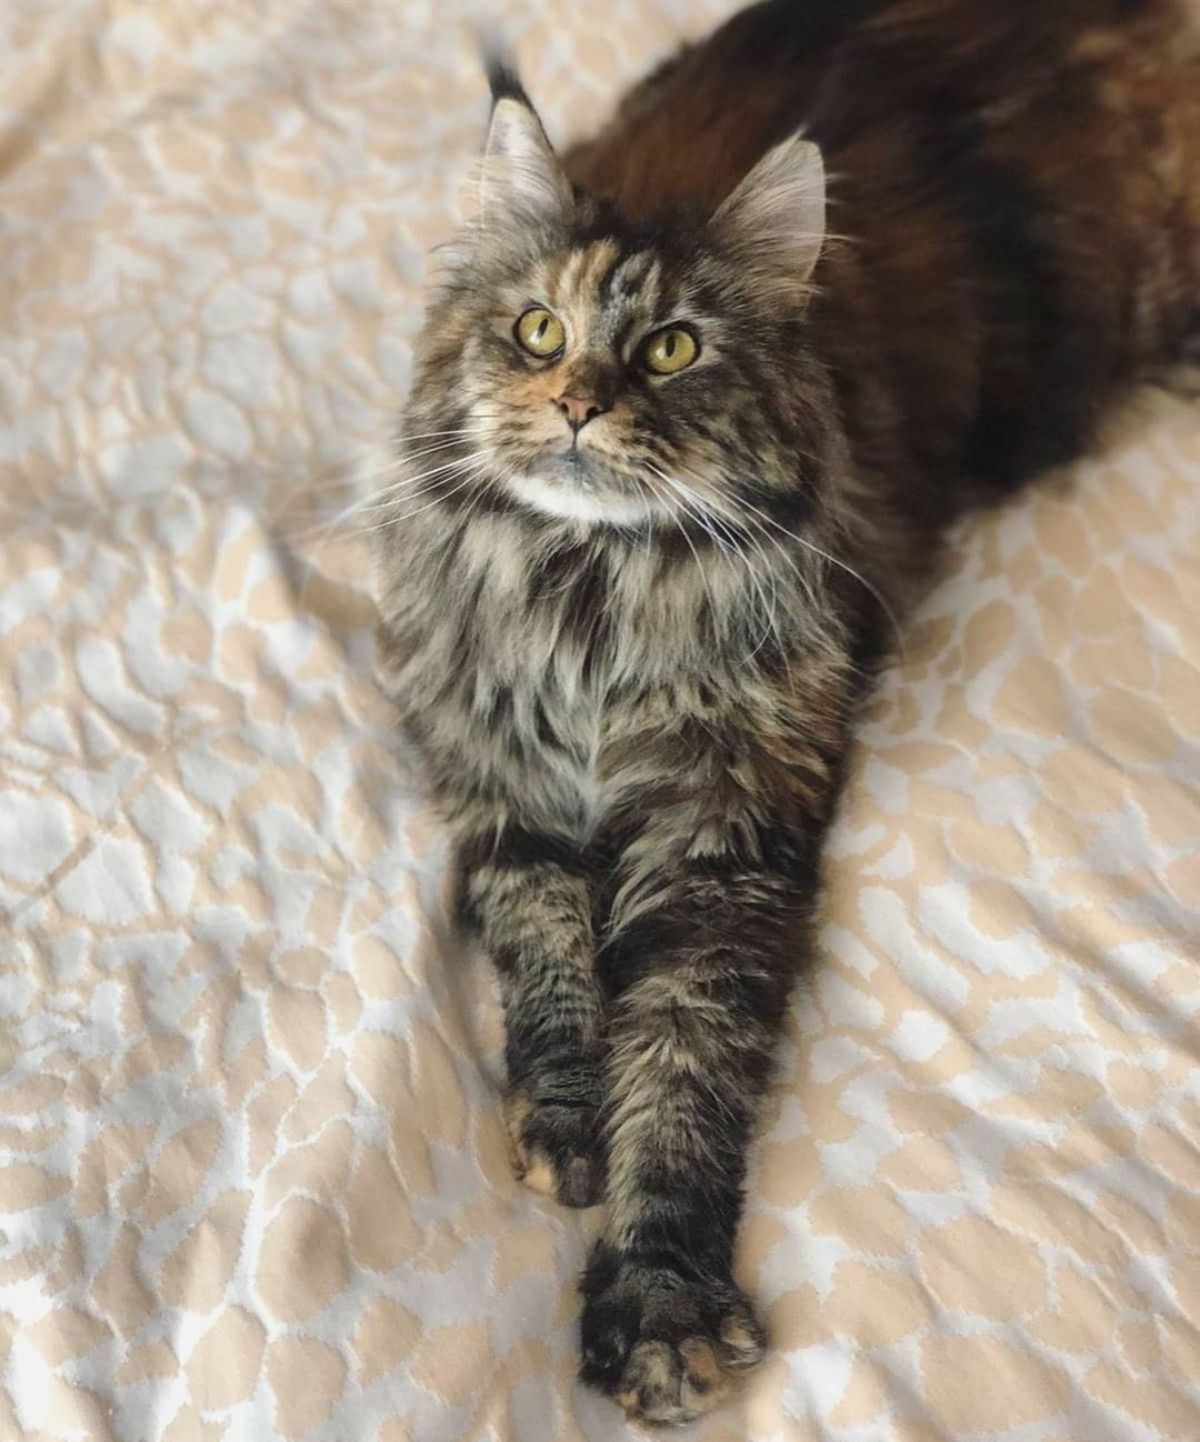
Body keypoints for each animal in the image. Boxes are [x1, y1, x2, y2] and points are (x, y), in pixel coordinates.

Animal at [375, 0, 1200, 1418]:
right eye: (538, 332)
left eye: (670, 348)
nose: (581, 402)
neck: (594, 596)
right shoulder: (508, 790)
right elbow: (546, 959)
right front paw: (563, 1117)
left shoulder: (725, 840)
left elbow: (680, 1067)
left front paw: (658, 1299)